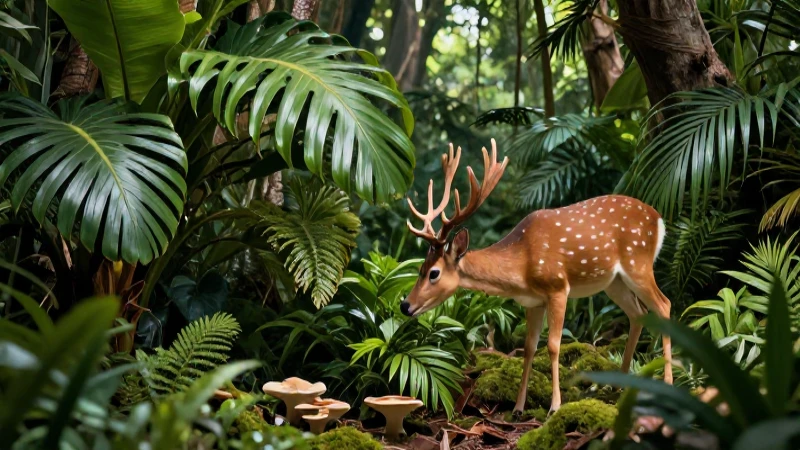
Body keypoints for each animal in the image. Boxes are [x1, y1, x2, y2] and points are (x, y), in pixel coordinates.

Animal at [400, 138, 673, 416]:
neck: (522, 267)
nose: (405, 305)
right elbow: (529, 348)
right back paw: (619, 386)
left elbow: (552, 345)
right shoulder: (533, 302)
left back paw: (667, 382)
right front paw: (518, 408)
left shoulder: (558, 287)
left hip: (638, 262)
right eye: (420, 268)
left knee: (664, 304)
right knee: (637, 314)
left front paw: (555, 406)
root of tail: (659, 219)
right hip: (614, 282)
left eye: (434, 273)